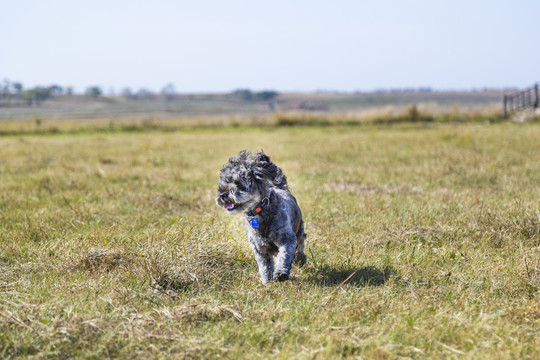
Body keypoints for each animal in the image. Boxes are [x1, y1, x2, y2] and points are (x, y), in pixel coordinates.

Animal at [216, 150, 308, 284]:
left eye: (238, 183)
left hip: (299, 230)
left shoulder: (287, 239)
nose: (222, 194)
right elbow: (265, 266)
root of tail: (277, 186)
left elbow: (284, 255)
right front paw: (267, 282)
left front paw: (281, 273)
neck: (260, 210)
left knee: (300, 245)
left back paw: (300, 259)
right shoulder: (259, 248)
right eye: (224, 183)